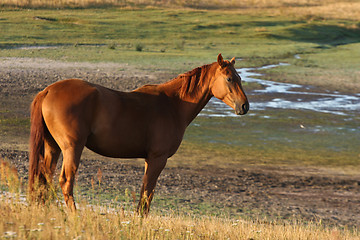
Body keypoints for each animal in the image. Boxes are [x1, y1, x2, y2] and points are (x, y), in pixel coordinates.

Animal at [28, 54, 248, 214]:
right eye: (229, 78)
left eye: (239, 78)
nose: (245, 106)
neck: (173, 104)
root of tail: (48, 91)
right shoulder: (158, 158)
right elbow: (147, 194)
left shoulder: (149, 159)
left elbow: (144, 192)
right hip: (72, 148)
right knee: (65, 181)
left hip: (53, 147)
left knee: (44, 178)